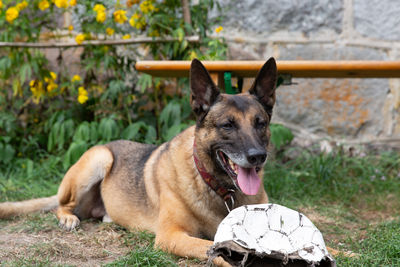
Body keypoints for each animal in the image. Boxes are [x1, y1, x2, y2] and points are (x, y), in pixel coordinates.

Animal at [0, 58, 280, 266]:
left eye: (261, 123)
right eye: (227, 126)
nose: (257, 156)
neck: (219, 189)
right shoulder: (171, 236)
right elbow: (215, 250)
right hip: (99, 158)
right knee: (61, 205)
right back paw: (68, 218)